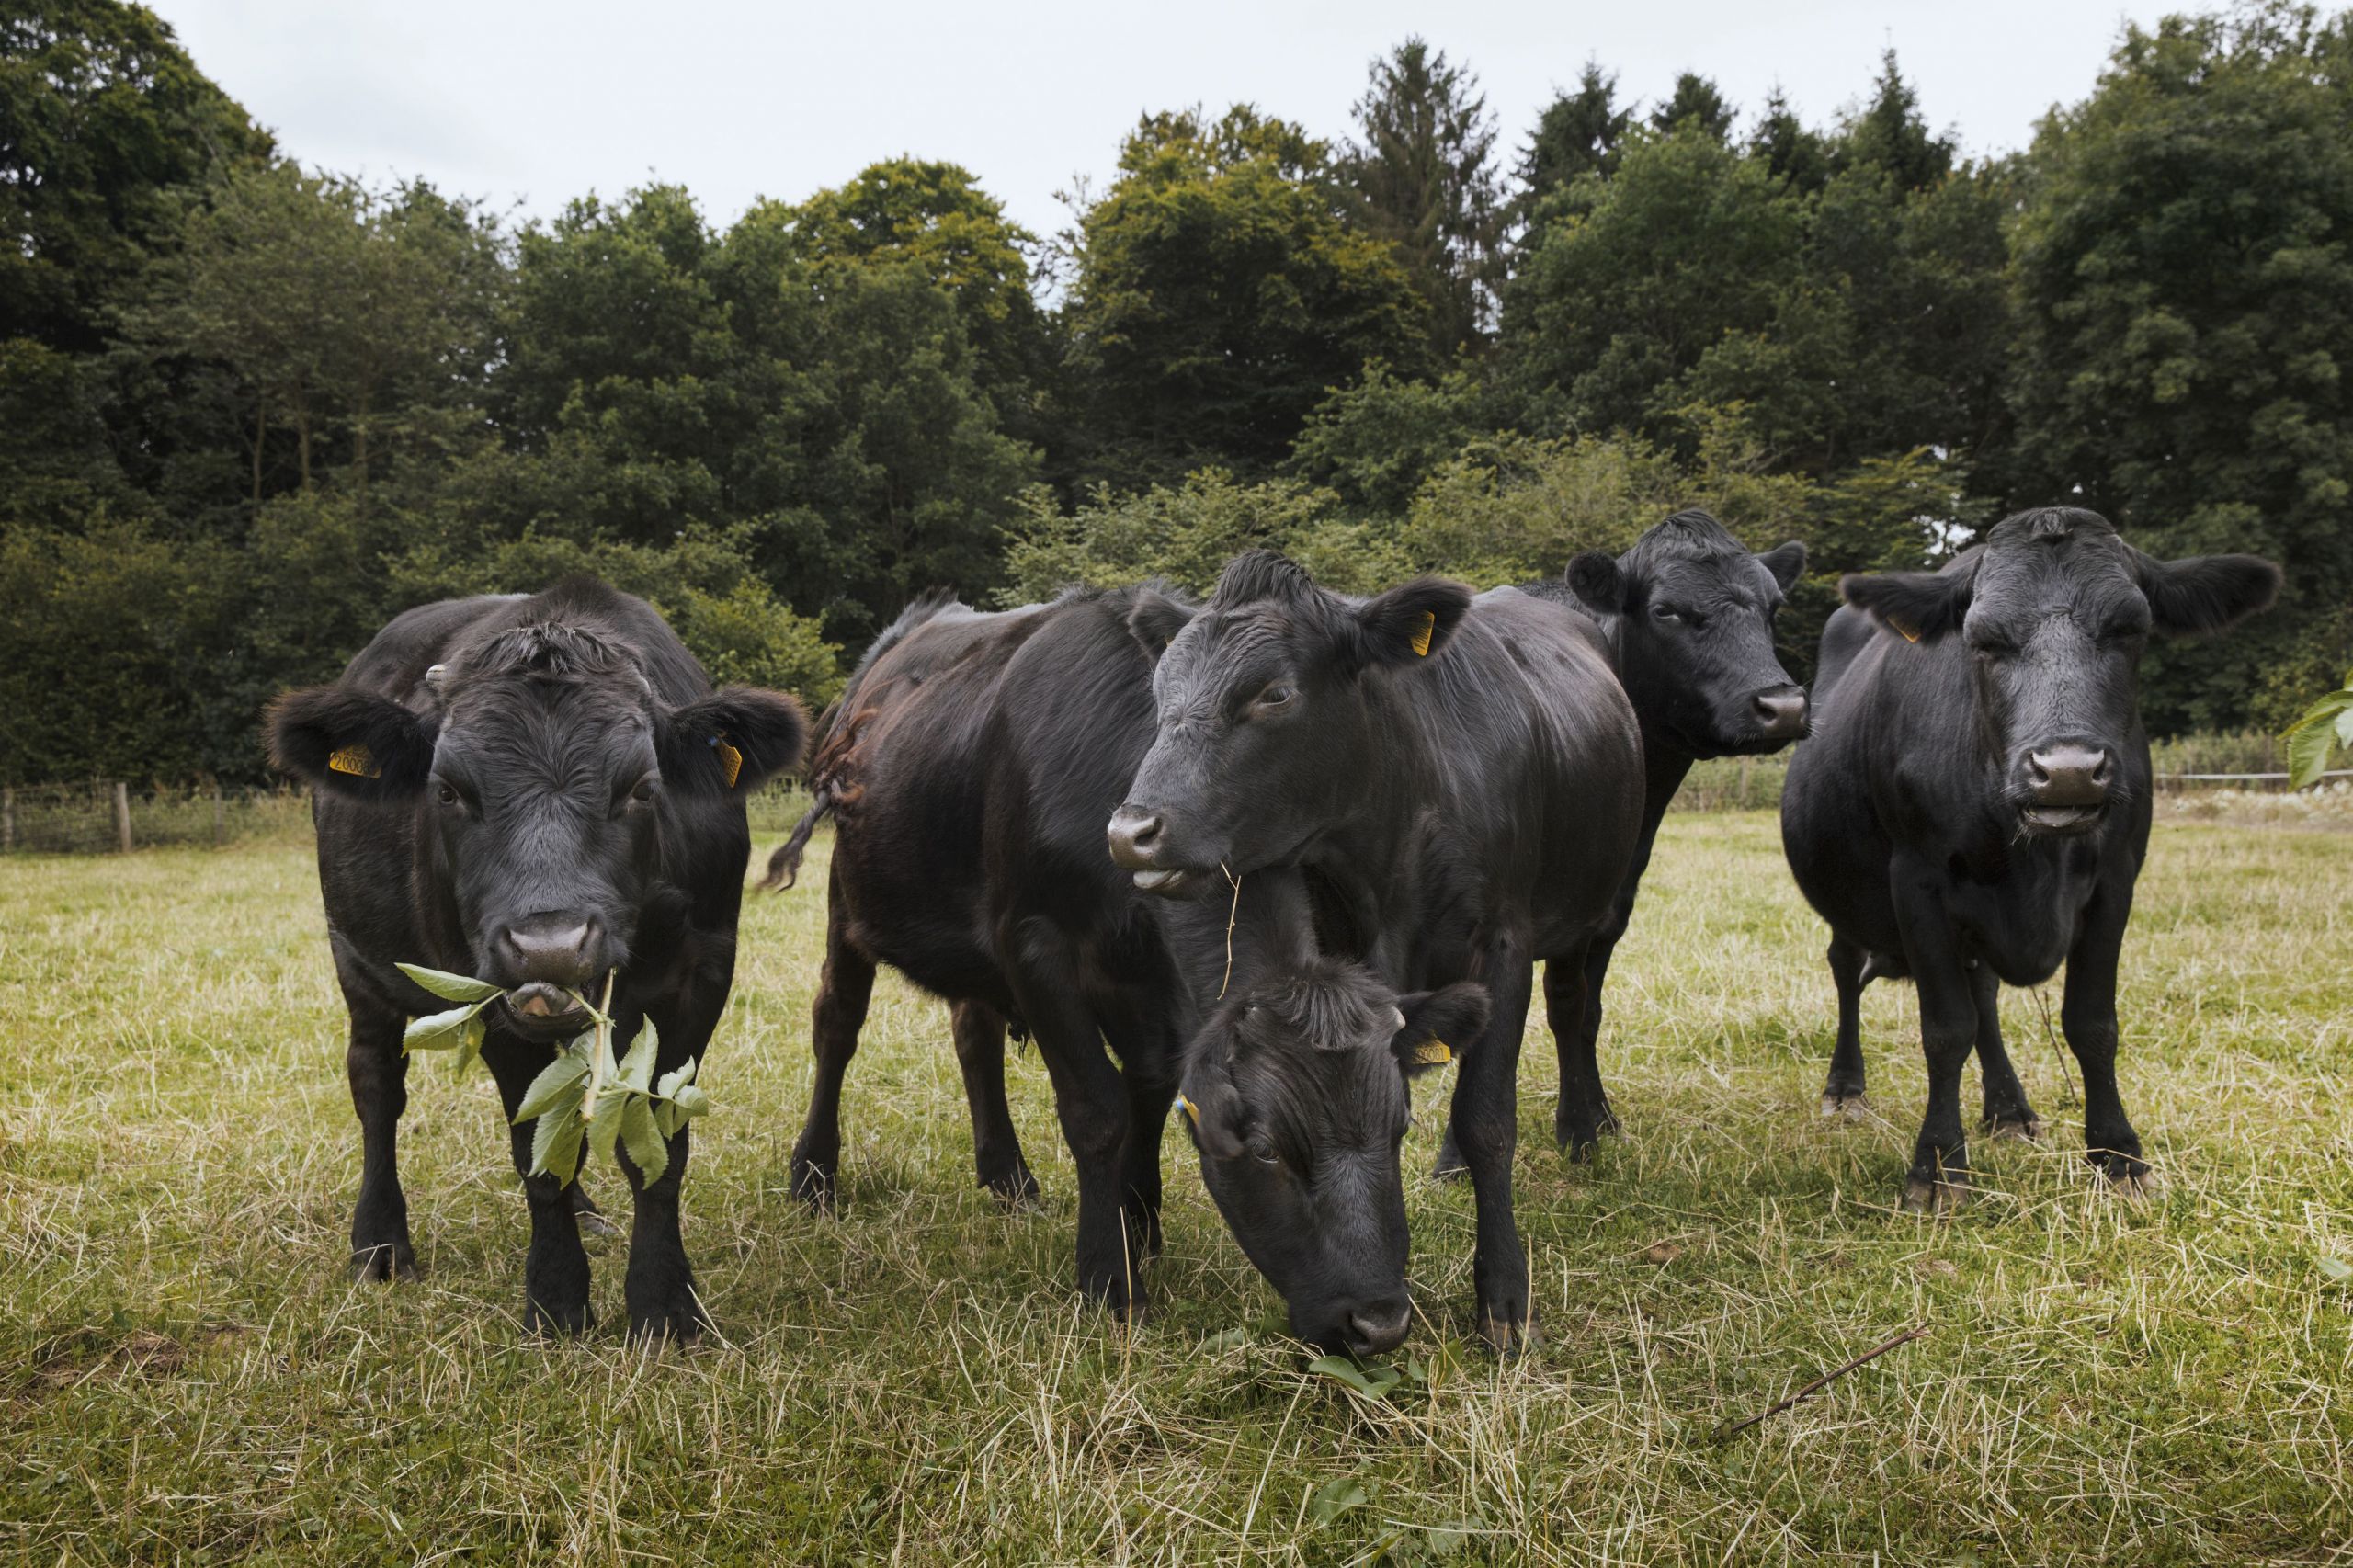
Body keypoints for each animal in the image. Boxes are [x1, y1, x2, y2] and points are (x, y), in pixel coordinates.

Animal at [267, 574, 809, 1327]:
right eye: (447, 791)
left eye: (643, 788)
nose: (549, 947)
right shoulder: (488, 992)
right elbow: (535, 1154)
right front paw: (556, 1300)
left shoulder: (702, 977)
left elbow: (658, 1150)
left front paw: (665, 1305)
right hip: (356, 962)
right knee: (376, 1089)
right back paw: (379, 1245)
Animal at [1110, 552, 1647, 1346]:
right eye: (1159, 695)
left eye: (1274, 693)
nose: (1131, 832)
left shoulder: (1504, 943)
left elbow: (1488, 1117)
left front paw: (1504, 1299)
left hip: (1595, 909)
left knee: (1573, 1011)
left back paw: (1584, 1132)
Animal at [1779, 506, 2278, 1200]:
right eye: (1983, 640)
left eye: (2131, 629)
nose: (2066, 772)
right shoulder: (1917, 880)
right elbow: (1945, 1029)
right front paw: (1938, 1166)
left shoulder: (2116, 879)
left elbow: (2091, 1024)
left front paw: (2118, 1155)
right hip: (1846, 896)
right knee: (1847, 971)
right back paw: (1846, 1089)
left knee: (1982, 993)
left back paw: (2009, 1108)